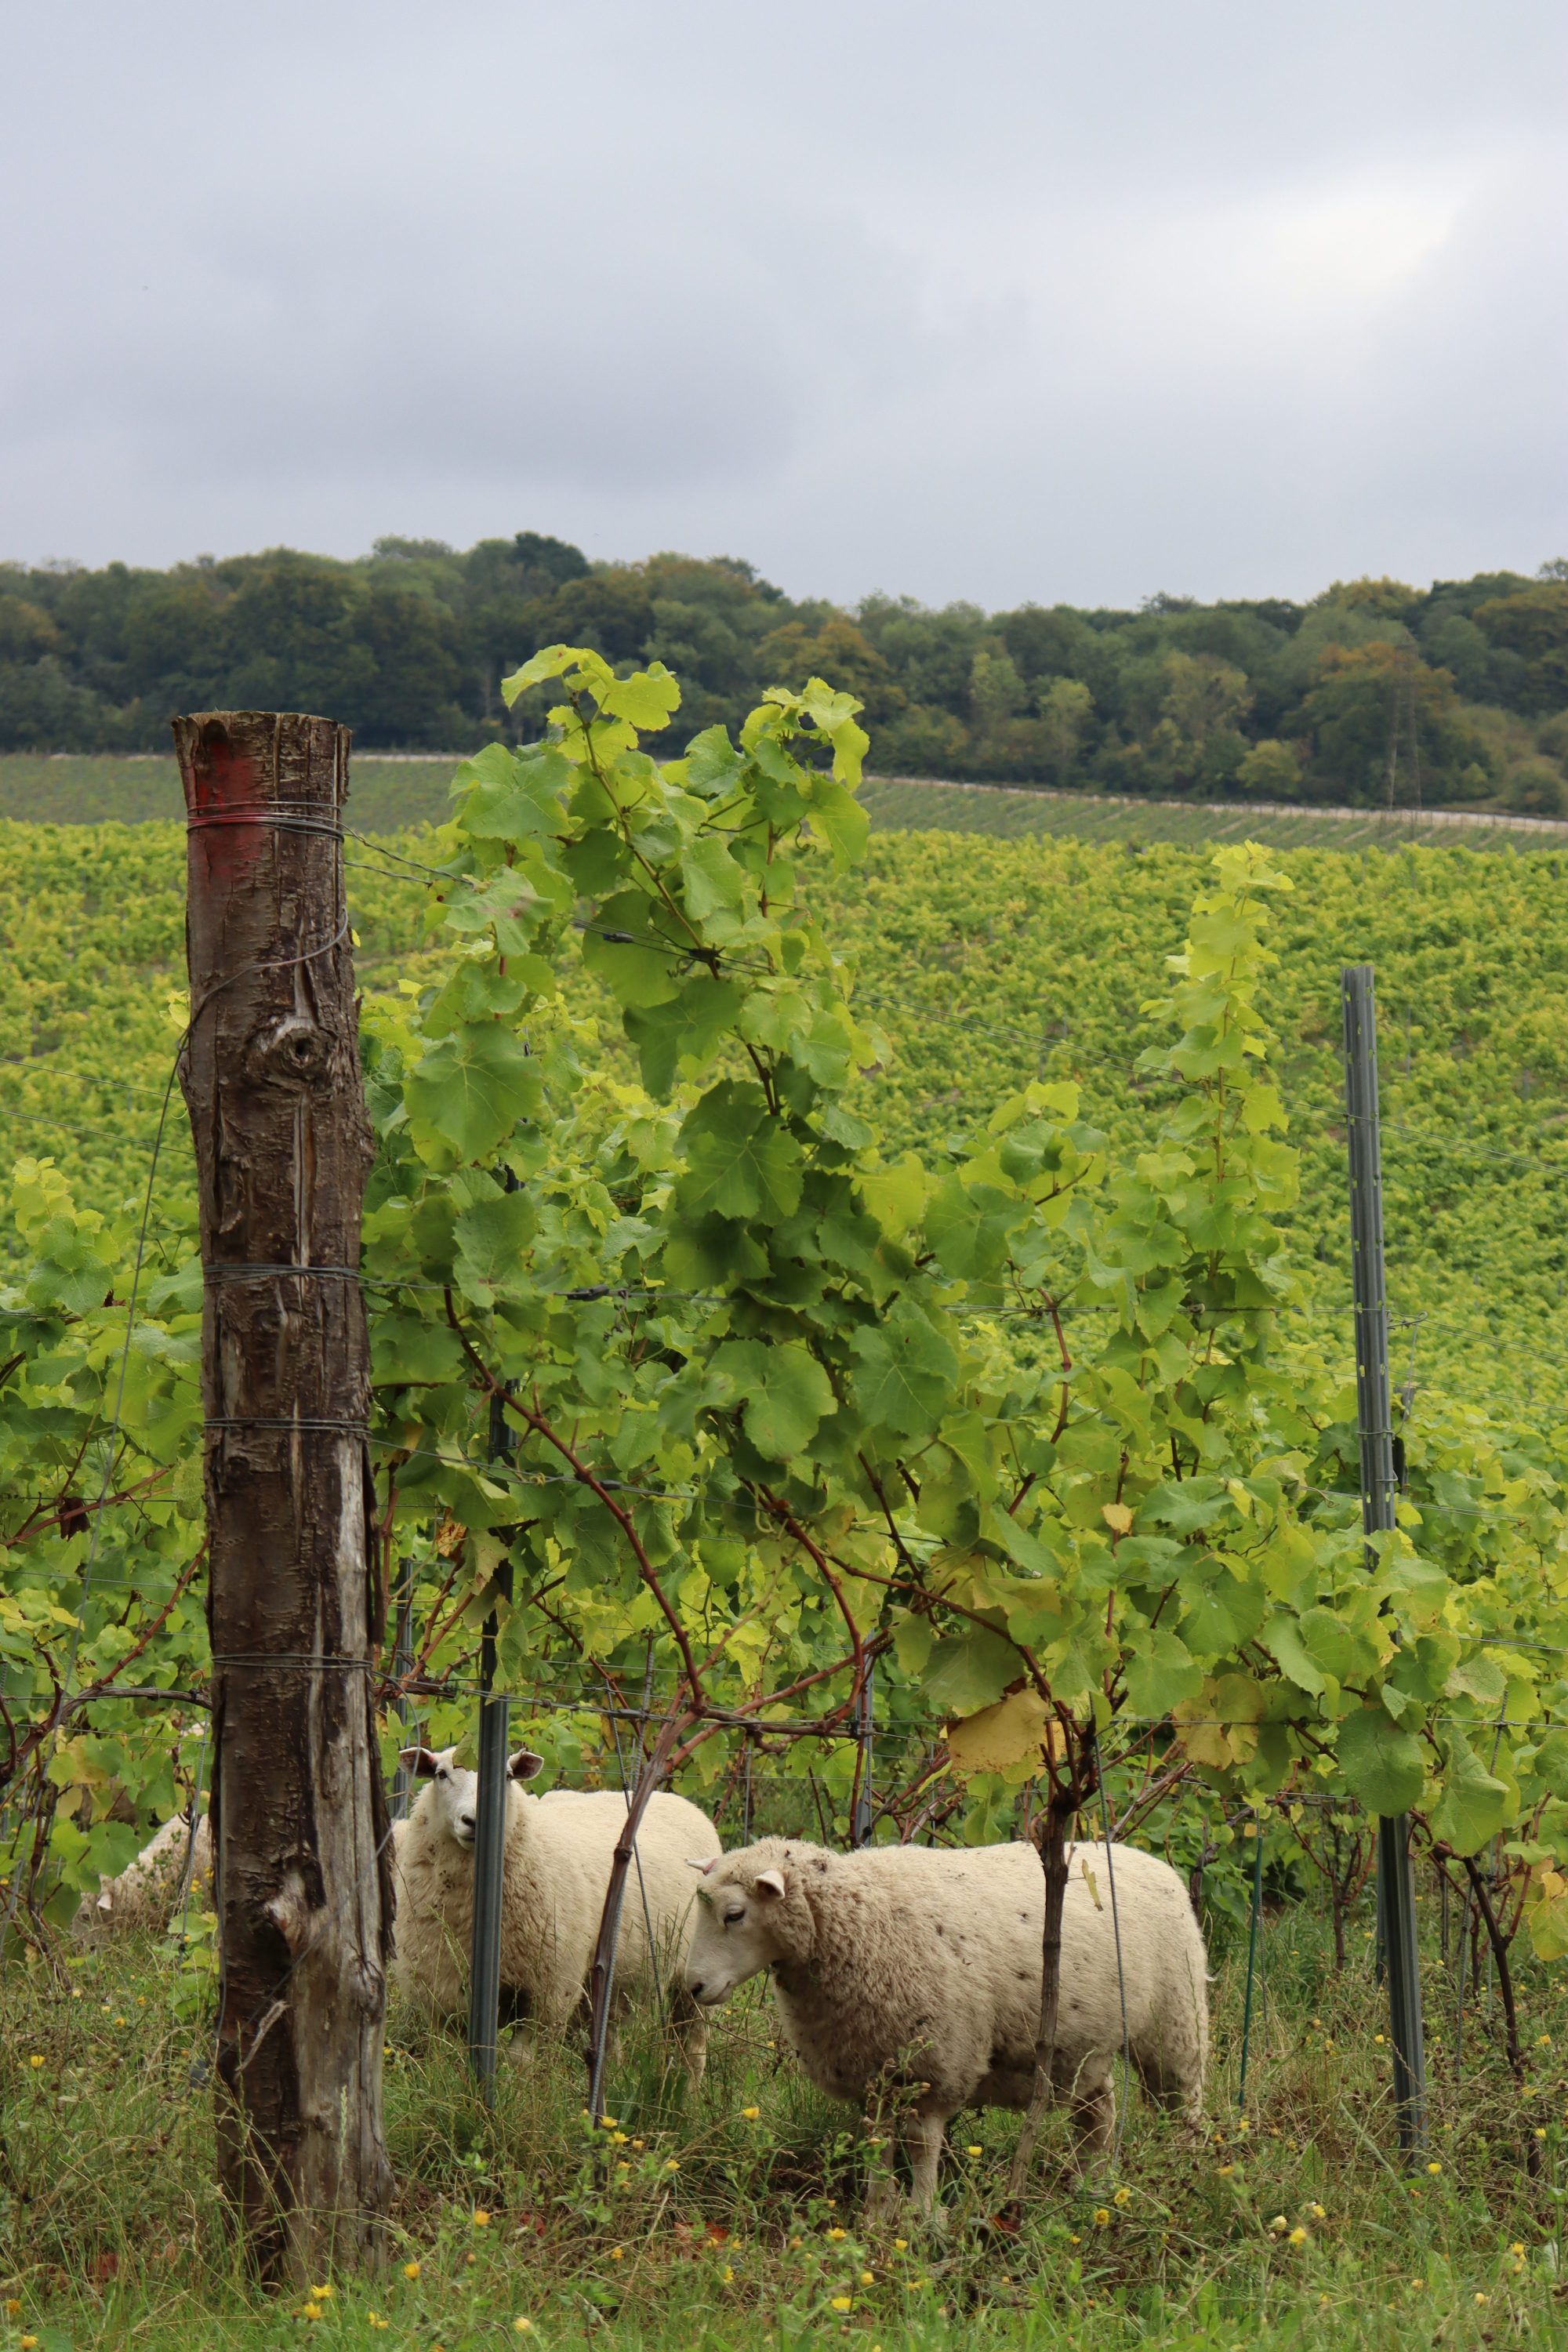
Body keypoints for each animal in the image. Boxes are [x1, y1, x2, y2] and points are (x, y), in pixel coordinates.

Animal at [390, 1744, 721, 2079]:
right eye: (440, 1774)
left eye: (507, 1776)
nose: (473, 1820)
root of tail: (682, 1802)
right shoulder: (443, 1997)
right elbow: (454, 2059)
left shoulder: (549, 1994)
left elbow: (520, 2060)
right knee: (610, 2040)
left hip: (693, 1977)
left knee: (692, 2043)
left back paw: (687, 2086)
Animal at [682, 1835, 1209, 2214]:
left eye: (735, 1914)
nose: (692, 1987)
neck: (858, 1923)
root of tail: (1153, 1862)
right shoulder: (873, 2070)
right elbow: (877, 2142)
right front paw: (875, 2216)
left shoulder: (936, 2065)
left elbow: (921, 2144)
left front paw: (922, 2216)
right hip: (1083, 2047)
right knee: (1098, 2114)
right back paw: (1089, 2188)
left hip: (1176, 2023)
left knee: (1184, 2105)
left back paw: (1186, 2172)